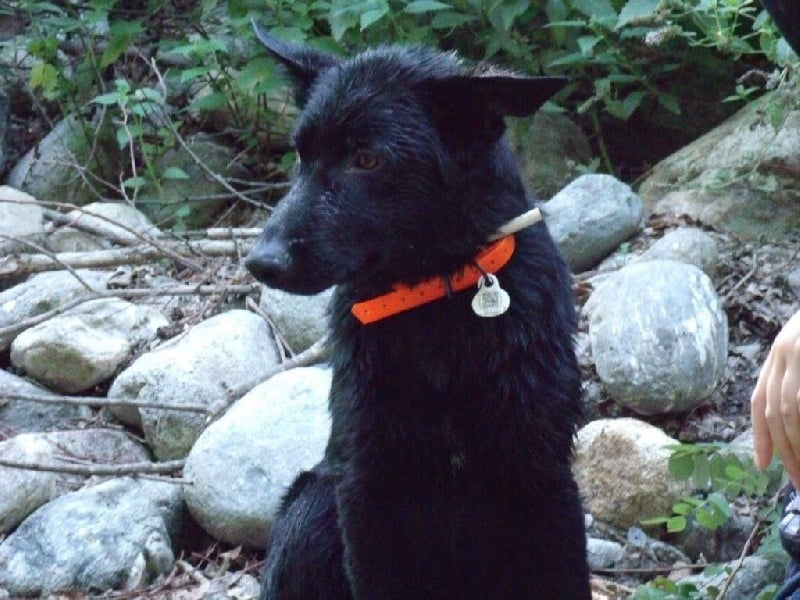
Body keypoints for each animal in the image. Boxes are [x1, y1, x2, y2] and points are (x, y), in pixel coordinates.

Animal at [245, 21, 591, 600]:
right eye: (300, 156)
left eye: (367, 159)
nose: (261, 262)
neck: (437, 298)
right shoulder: (368, 493)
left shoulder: (541, 481)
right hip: (312, 506)